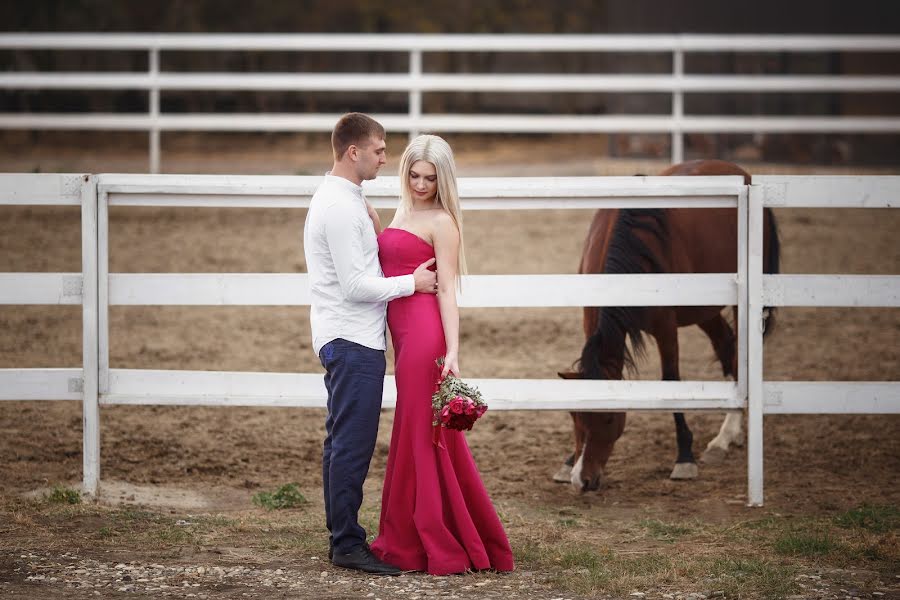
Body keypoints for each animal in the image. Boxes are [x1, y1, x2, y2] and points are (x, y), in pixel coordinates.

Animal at [556, 159, 780, 492]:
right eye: (574, 417)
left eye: (609, 418)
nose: (582, 480)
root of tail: (742, 172)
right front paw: (568, 461)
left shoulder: (665, 326)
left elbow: (671, 380)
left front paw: (684, 456)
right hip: (704, 310)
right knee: (726, 347)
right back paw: (731, 433)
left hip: (741, 303)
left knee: (739, 356)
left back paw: (724, 437)